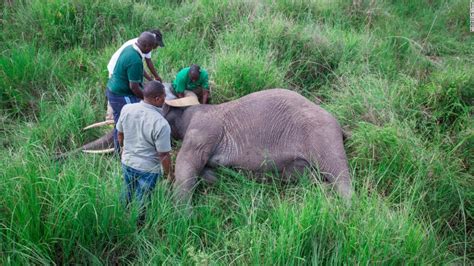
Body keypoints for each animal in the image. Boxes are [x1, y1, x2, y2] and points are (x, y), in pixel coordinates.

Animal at [163, 88, 352, 203]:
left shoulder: (203, 128)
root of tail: (340, 127)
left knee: (341, 180)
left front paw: (183, 217)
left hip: (322, 135)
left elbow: (187, 163)